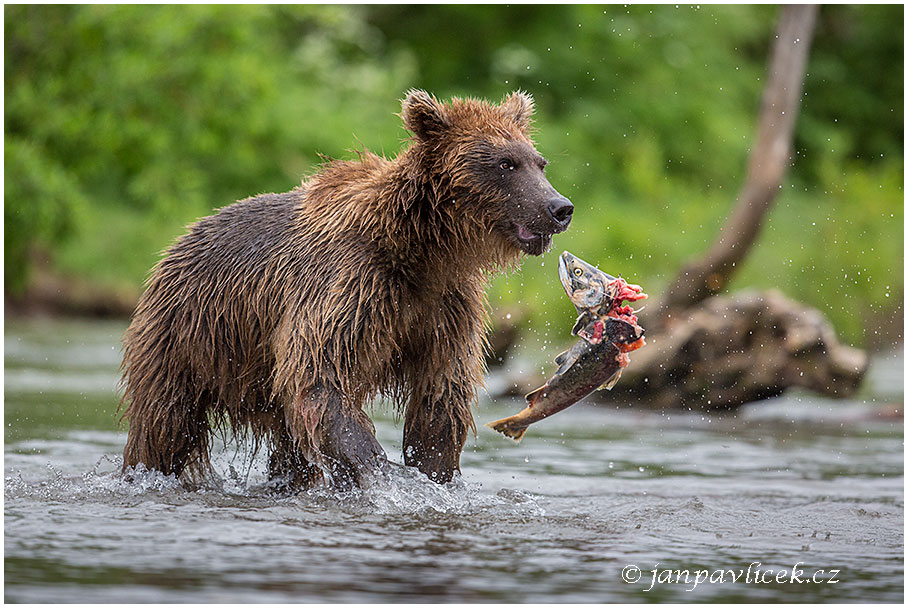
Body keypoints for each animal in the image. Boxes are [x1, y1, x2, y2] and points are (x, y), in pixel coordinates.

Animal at [119, 90, 572, 490]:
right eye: (505, 163)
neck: (422, 249)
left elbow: (441, 394)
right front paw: (379, 470)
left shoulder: (445, 308)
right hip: (188, 336)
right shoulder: (349, 284)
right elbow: (319, 372)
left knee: (288, 443)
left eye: (540, 162)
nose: (559, 208)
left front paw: (434, 471)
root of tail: (178, 241)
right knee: (164, 425)